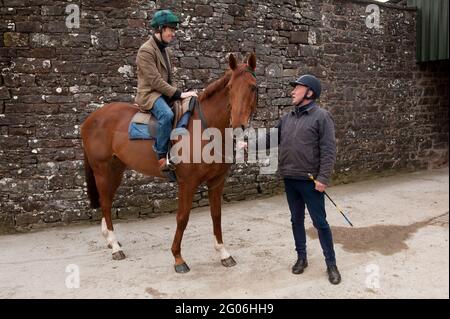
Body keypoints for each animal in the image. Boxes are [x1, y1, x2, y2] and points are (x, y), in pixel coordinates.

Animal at [81, 53, 256, 274]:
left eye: (253, 87)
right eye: (230, 88)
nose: (238, 125)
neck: (205, 129)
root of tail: (91, 118)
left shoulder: (217, 181)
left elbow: (216, 215)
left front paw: (223, 253)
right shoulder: (187, 183)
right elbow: (182, 218)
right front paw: (178, 258)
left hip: (116, 171)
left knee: (108, 201)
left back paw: (110, 239)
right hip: (102, 170)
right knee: (105, 203)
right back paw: (114, 247)